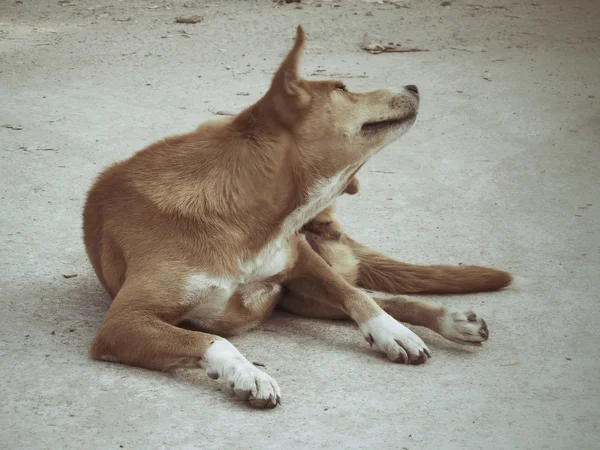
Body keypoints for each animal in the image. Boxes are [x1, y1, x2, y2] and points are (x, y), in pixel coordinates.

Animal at [81, 26, 510, 410]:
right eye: (342, 88)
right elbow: (214, 340)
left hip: (303, 287)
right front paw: (248, 373)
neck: (254, 220)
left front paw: (392, 333)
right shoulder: (122, 322)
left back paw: (448, 320)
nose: (414, 86)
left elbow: (354, 294)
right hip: (297, 301)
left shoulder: (301, 261)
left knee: (378, 294)